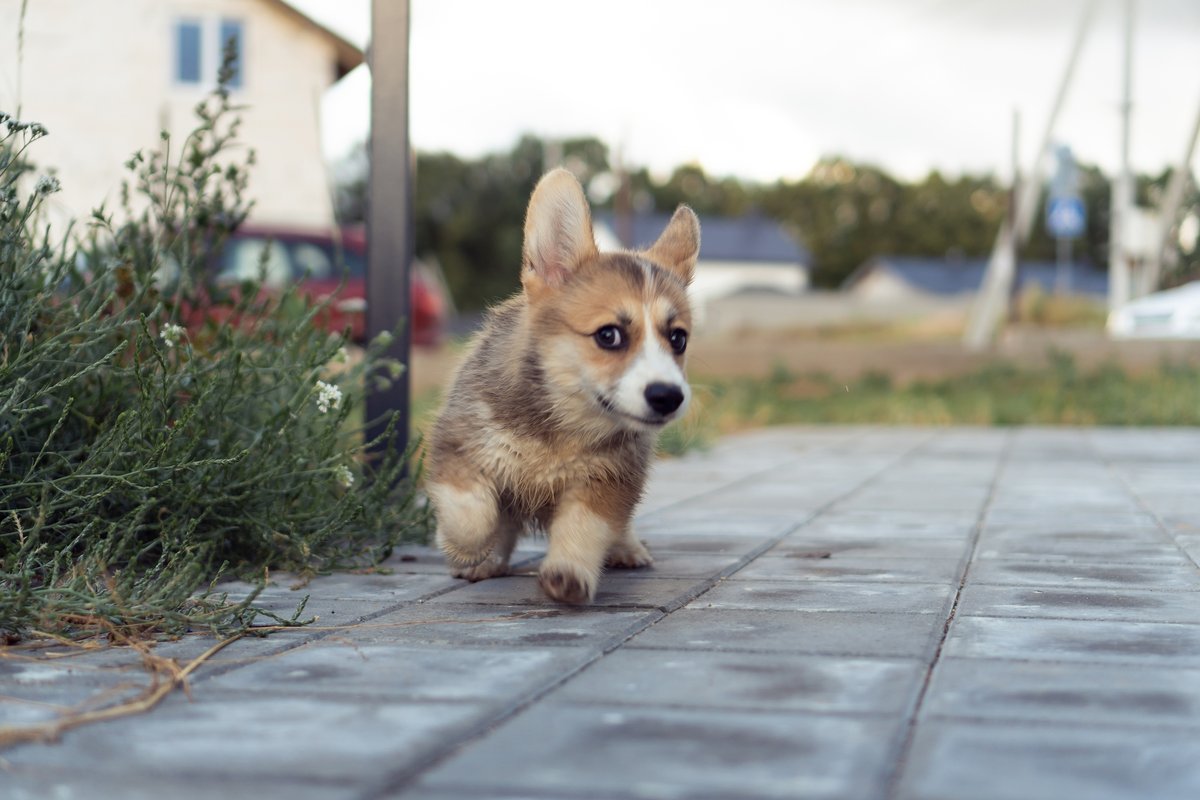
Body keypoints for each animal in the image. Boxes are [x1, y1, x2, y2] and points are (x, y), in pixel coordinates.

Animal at [427, 170, 700, 606]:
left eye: (678, 339)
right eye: (609, 335)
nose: (668, 397)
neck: (561, 428)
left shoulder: (607, 482)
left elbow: (584, 528)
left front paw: (569, 573)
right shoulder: (458, 449)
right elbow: (473, 514)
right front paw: (465, 550)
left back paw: (627, 548)